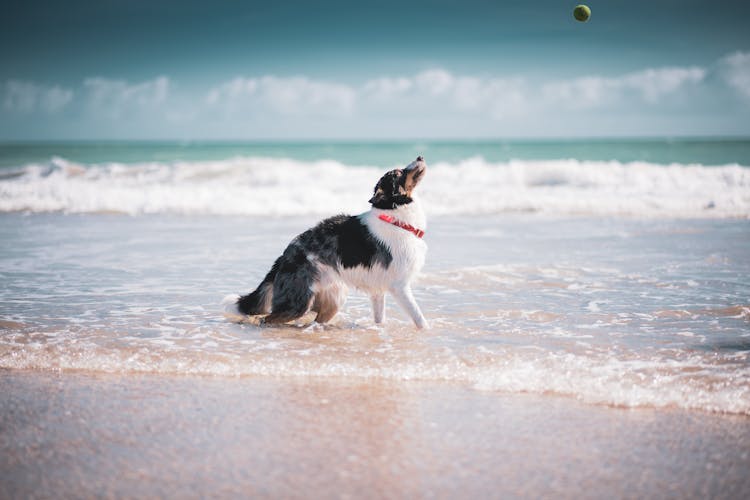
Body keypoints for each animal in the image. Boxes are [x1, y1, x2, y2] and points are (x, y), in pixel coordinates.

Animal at [223, 156, 428, 328]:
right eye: (399, 172)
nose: (420, 157)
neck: (395, 216)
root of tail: (284, 256)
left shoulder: (378, 290)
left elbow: (380, 319)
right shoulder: (399, 286)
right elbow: (419, 318)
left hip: (333, 298)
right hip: (298, 301)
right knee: (266, 318)